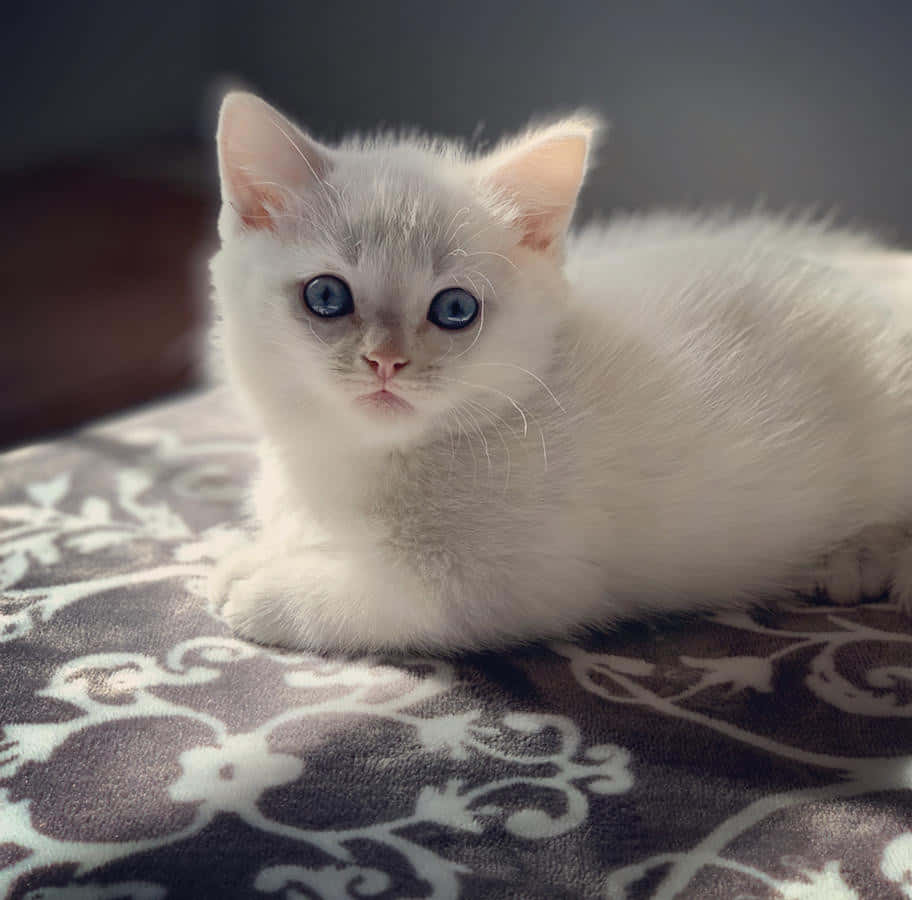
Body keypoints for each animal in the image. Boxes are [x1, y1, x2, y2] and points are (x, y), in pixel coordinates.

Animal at [210, 93, 912, 652]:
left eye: (455, 309)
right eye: (327, 296)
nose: (387, 360)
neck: (355, 461)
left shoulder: (514, 584)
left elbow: (388, 601)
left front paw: (261, 588)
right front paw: (253, 550)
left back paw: (860, 558)